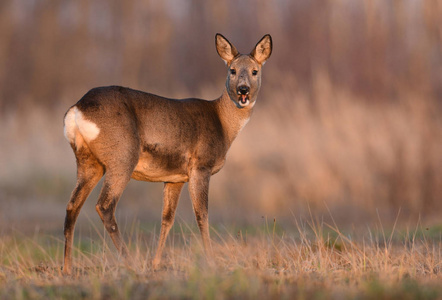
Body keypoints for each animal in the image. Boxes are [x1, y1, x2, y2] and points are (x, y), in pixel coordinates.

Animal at [61, 32, 270, 274]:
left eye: (255, 71)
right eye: (232, 70)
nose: (243, 90)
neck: (222, 123)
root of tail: (77, 109)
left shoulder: (175, 178)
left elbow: (167, 219)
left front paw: (156, 263)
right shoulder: (201, 166)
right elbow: (202, 215)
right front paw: (211, 261)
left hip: (88, 162)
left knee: (72, 206)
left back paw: (67, 268)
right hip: (122, 157)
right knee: (104, 206)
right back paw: (130, 263)